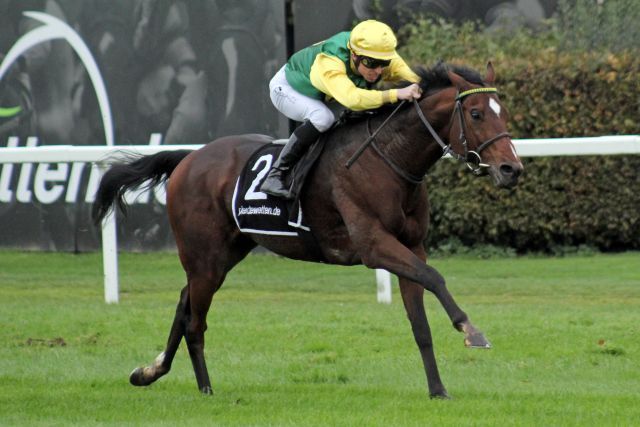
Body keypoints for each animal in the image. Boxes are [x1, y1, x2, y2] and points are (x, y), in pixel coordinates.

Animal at [96, 61, 524, 400]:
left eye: (502, 111)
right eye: (475, 113)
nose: (511, 170)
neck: (390, 159)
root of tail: (190, 157)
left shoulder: (411, 246)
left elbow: (420, 321)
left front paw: (437, 390)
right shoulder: (374, 245)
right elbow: (435, 277)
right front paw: (471, 330)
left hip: (224, 253)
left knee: (184, 303)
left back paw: (149, 372)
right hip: (205, 258)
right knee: (195, 321)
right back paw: (205, 389)